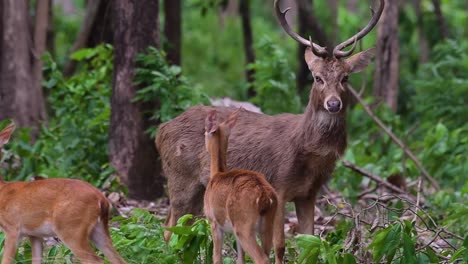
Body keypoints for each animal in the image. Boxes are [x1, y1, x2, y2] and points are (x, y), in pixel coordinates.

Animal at [0, 124, 125, 264]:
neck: (2, 190)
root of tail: (101, 198)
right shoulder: (35, 235)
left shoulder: (12, 228)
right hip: (98, 229)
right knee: (118, 259)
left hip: (71, 228)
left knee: (96, 260)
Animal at [204, 108, 278, 262]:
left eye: (204, 131)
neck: (216, 175)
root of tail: (264, 197)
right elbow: (240, 259)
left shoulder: (213, 222)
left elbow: (216, 257)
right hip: (267, 224)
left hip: (244, 225)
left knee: (262, 259)